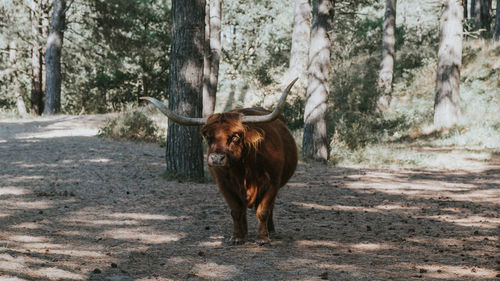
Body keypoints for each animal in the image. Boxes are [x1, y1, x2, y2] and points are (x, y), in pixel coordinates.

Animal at [141, 77, 296, 244]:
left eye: (235, 136)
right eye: (208, 137)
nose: (216, 158)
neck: (244, 170)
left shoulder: (272, 183)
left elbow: (263, 210)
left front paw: (262, 238)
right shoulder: (224, 185)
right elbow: (236, 211)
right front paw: (237, 237)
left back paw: (271, 231)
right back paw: (245, 232)